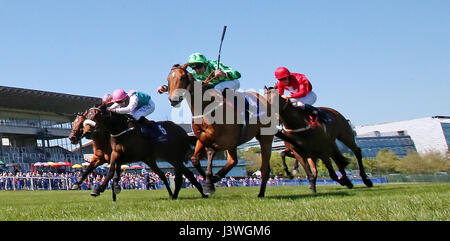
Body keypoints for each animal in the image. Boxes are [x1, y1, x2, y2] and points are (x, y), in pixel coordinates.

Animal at [165, 63, 302, 198]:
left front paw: (209, 183)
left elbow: (210, 152)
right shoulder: (202, 137)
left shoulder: (222, 139)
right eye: (168, 79)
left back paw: (261, 193)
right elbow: (195, 159)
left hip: (264, 138)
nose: (173, 99)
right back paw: (217, 177)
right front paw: (208, 180)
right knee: (233, 160)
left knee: (263, 168)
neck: (206, 107)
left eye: (182, 77)